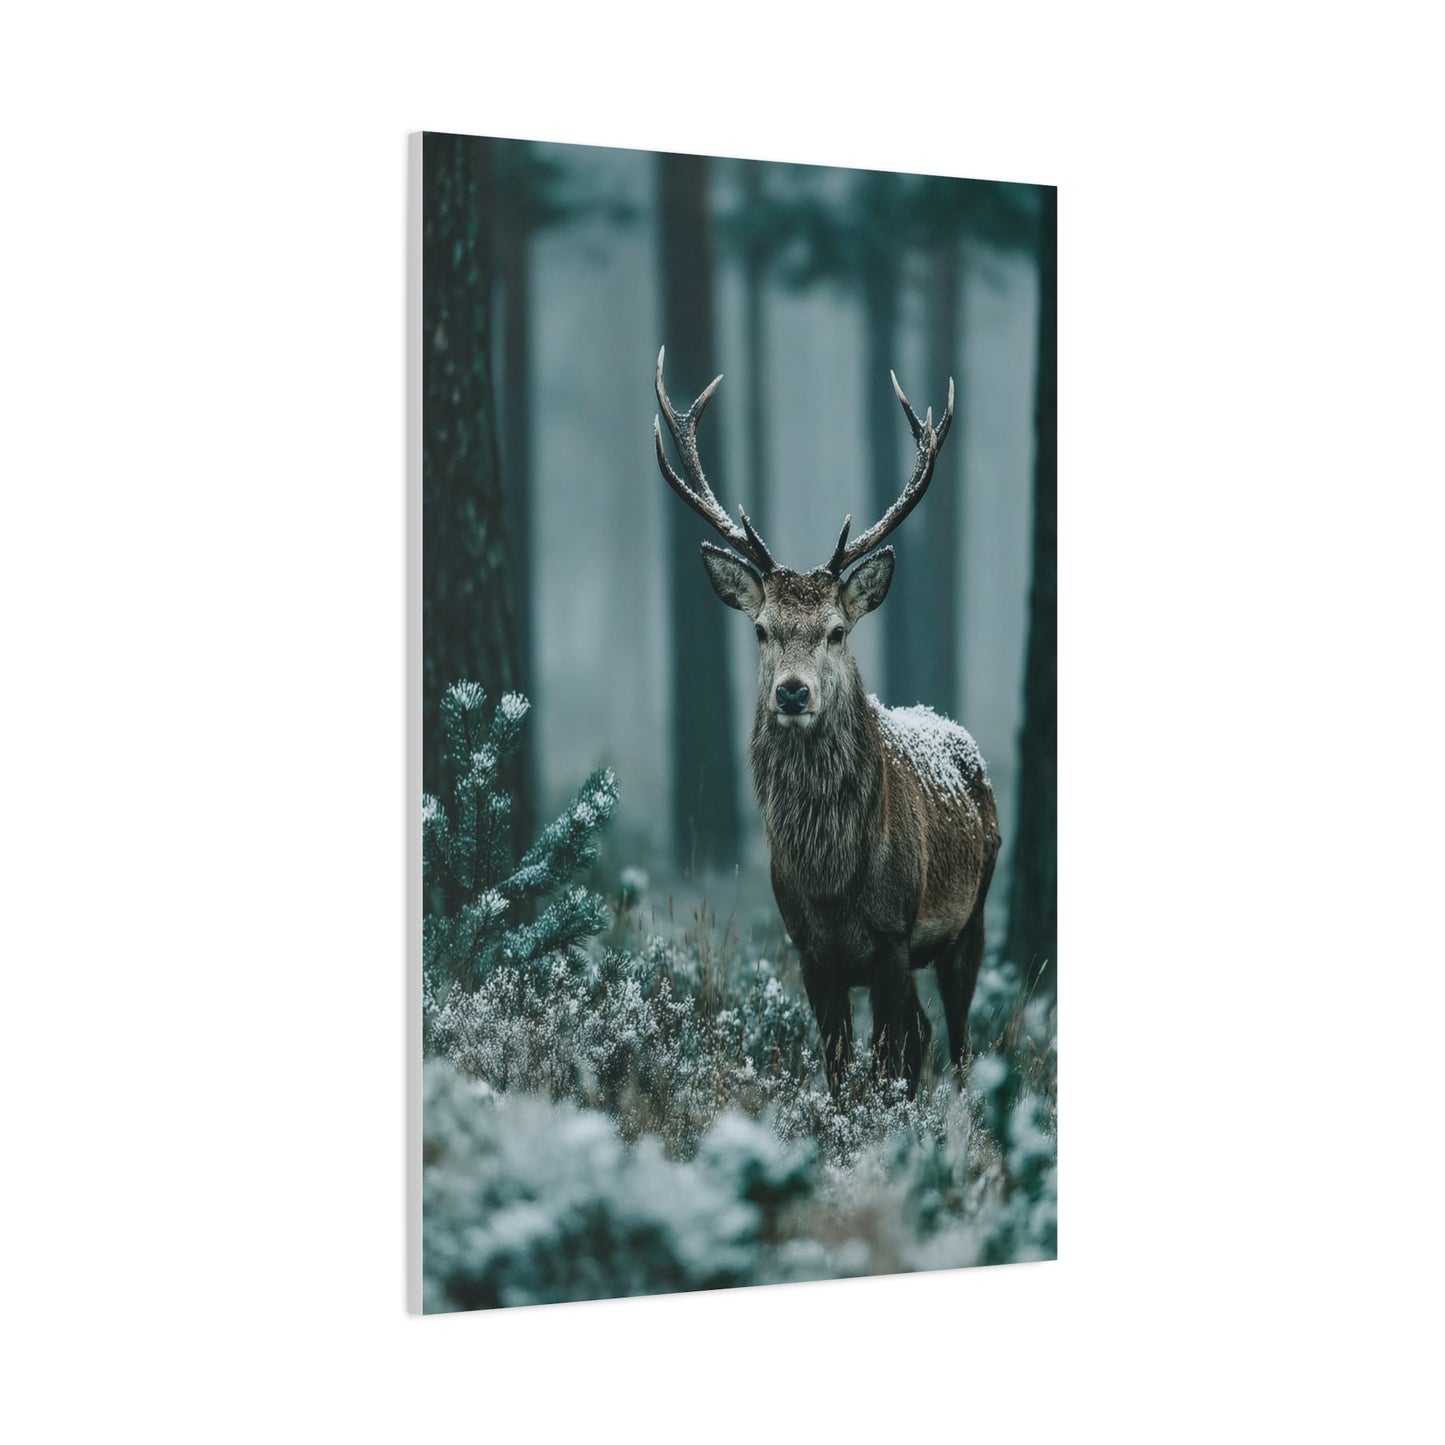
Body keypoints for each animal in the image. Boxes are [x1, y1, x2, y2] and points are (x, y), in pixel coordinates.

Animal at [652, 348, 1001, 1099]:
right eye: (760, 629)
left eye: (837, 630)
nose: (791, 693)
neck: (833, 881)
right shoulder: (808, 948)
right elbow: (841, 1064)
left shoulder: (894, 933)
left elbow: (887, 1056)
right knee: (925, 1033)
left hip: (974, 912)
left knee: (956, 1038)